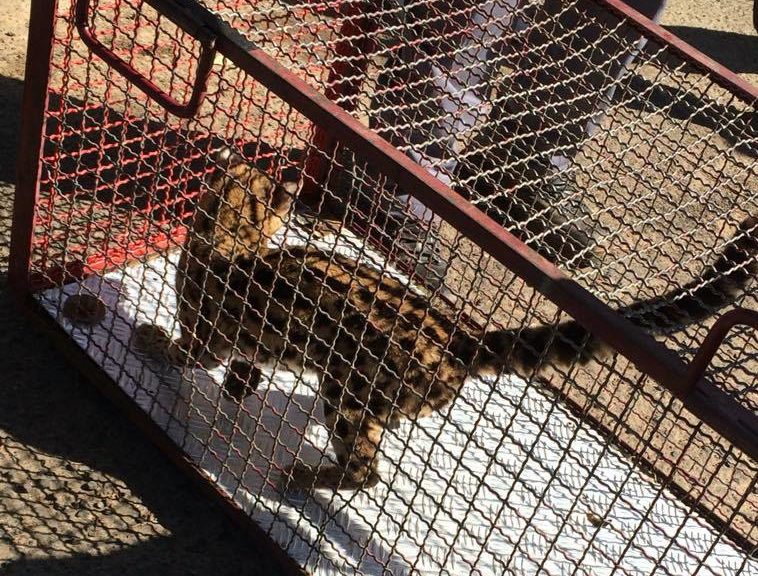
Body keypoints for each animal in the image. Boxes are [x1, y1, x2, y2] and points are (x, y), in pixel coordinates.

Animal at [137, 148, 758, 490]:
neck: (228, 233)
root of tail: (461, 335)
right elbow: (246, 362)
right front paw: (242, 385)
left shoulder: (204, 331)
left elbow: (186, 350)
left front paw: (152, 341)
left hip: (351, 392)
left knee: (366, 471)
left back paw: (306, 478)